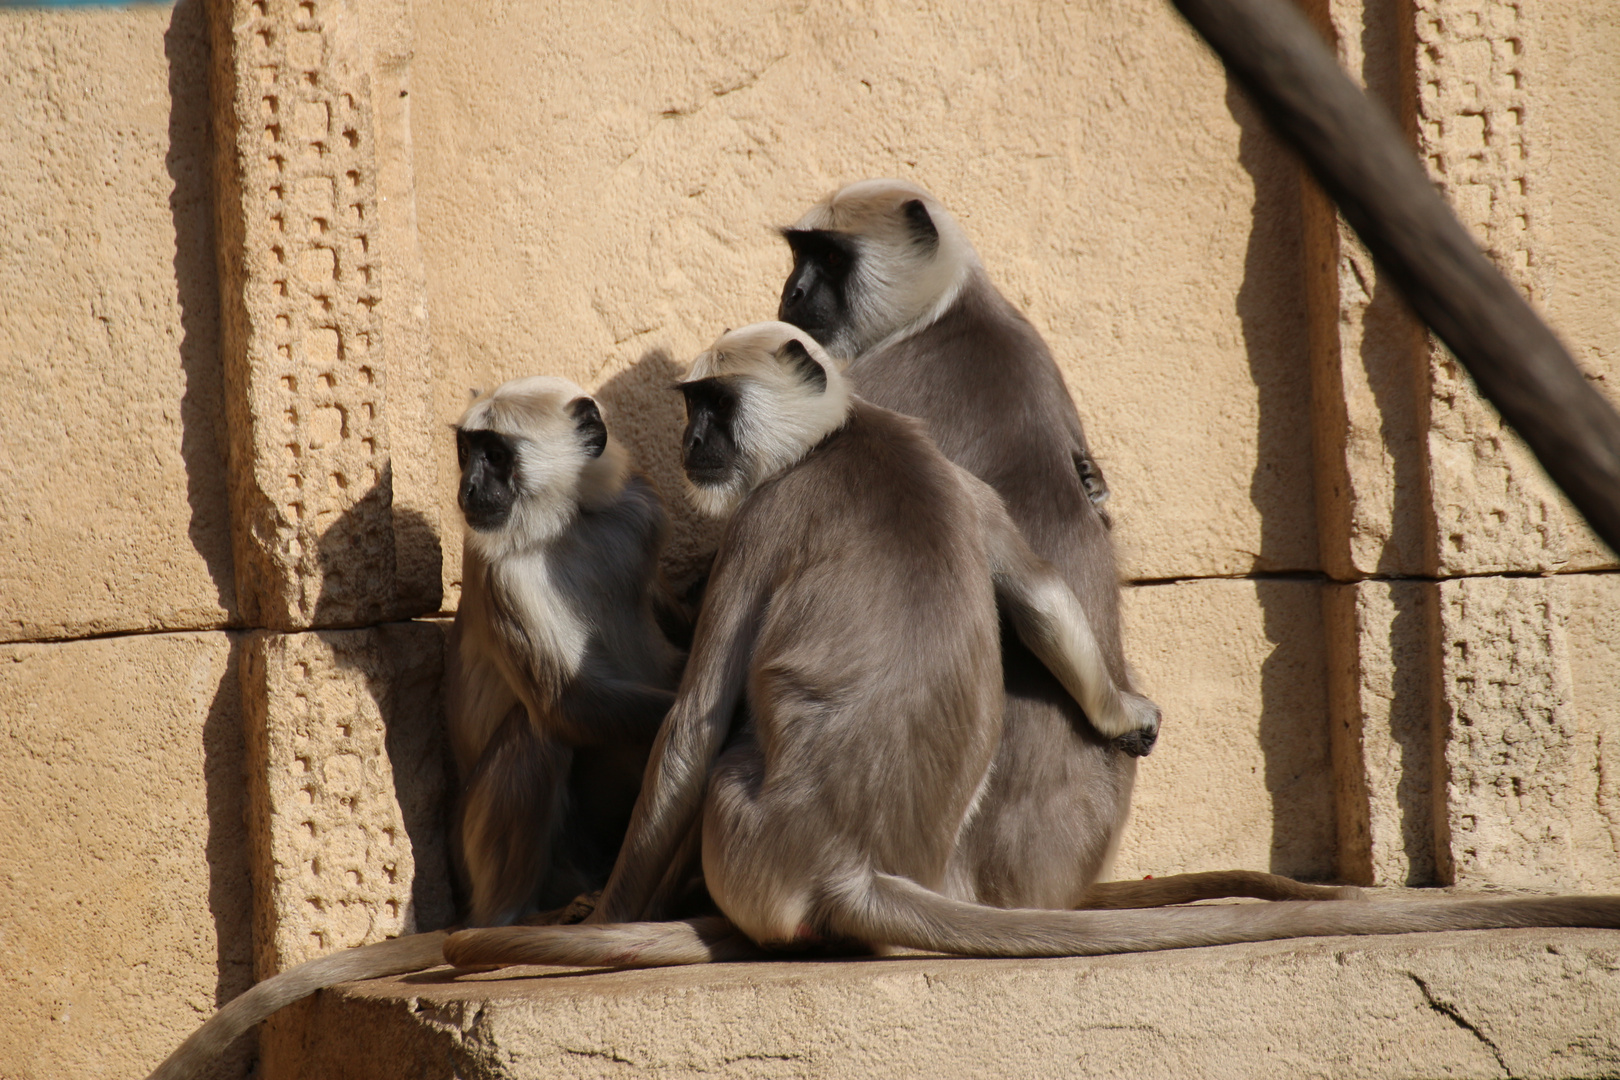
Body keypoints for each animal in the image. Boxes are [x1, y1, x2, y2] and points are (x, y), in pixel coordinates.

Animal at [145, 378, 683, 1080]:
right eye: (468, 452)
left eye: (495, 455)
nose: (469, 488)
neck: (568, 524)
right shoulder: (501, 567)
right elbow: (565, 704)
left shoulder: (639, 507)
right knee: (536, 734)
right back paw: (513, 920)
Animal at [434, 323, 1620, 971]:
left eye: (713, 407)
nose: (688, 443)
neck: (844, 438)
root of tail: (849, 871)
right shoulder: (948, 472)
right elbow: (1036, 587)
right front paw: (1120, 711)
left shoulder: (767, 515)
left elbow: (691, 721)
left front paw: (614, 910)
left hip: (745, 832)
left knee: (718, 760)